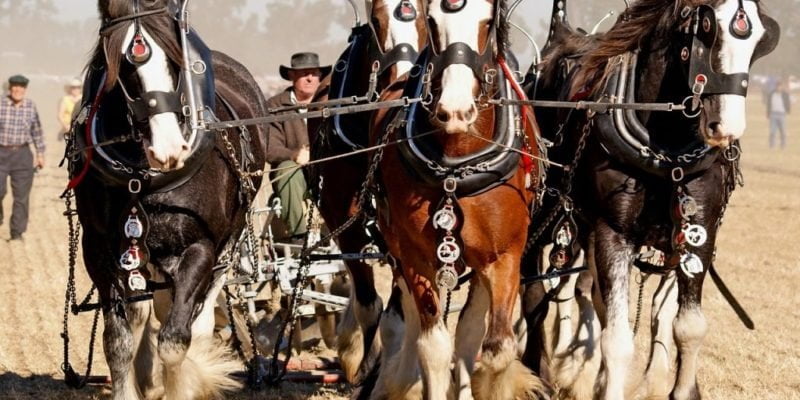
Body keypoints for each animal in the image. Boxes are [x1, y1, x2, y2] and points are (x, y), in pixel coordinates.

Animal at [67, 1, 268, 398]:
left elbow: (176, 340)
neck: (142, 179)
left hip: (226, 247)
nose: (170, 149)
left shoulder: (200, 248)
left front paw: (184, 382)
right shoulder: (98, 251)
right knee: (148, 311)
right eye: (123, 67)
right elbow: (118, 341)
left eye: (177, 63)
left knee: (196, 321)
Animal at [306, 0, 427, 384]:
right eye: (376, 19)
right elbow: (368, 304)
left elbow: (398, 312)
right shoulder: (343, 221)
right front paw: (363, 364)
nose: (403, 82)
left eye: (425, 16)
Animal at [368, 1, 550, 398]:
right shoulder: (416, 256)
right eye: (433, 22)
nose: (455, 110)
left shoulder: (504, 256)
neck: (457, 162)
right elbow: (433, 345)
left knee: (469, 331)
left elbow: (495, 348)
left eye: (487, 22)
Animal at [523, 0, 779, 398]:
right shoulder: (613, 233)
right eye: (707, 29)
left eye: (761, 39)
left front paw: (678, 388)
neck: (668, 151)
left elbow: (687, 326)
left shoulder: (698, 233)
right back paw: (536, 373)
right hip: (547, 212)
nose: (727, 127)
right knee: (535, 292)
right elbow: (617, 340)